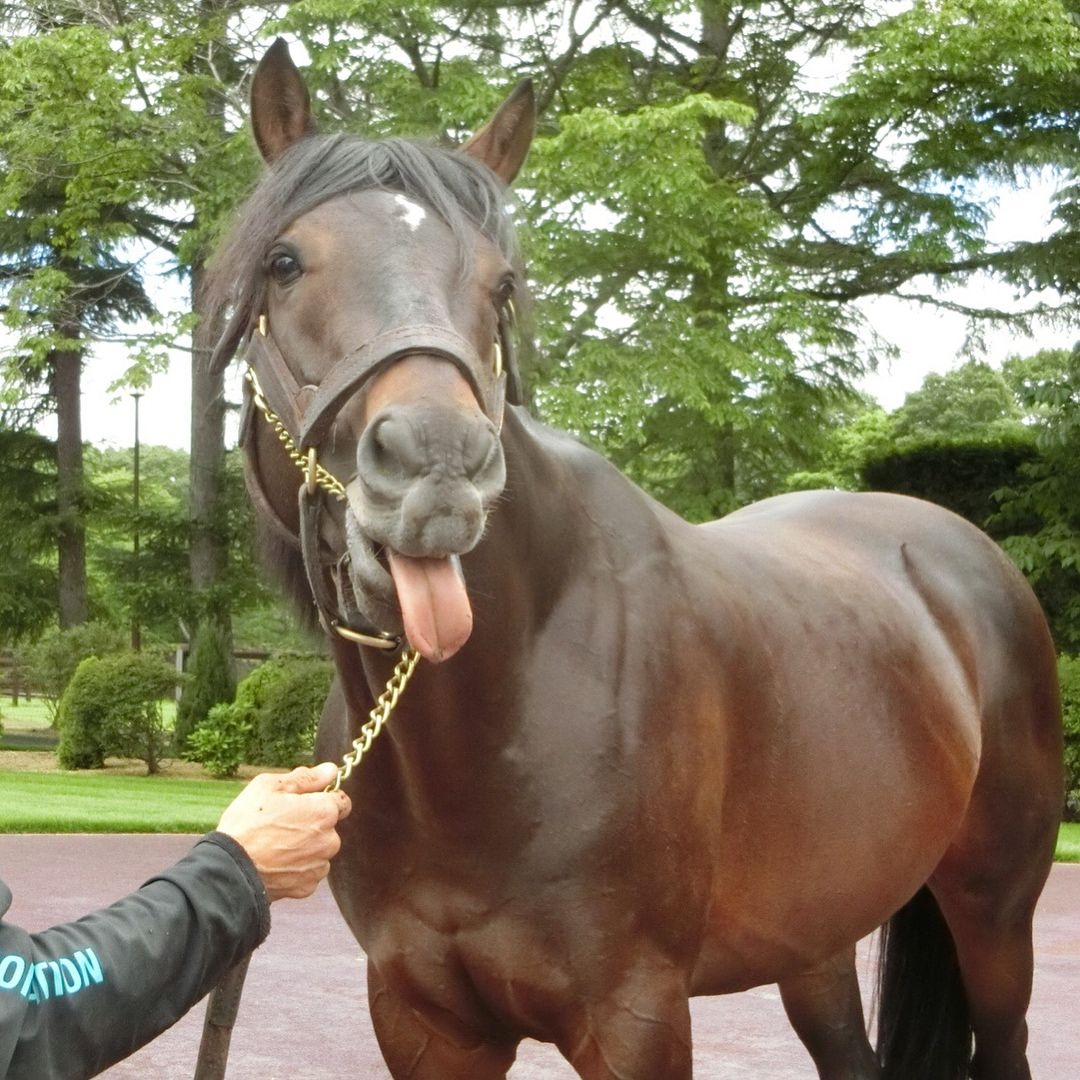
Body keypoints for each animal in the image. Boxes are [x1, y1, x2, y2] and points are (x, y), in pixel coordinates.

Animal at [208, 38, 1062, 1075]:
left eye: (500, 286)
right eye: (285, 263)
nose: (437, 468)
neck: (499, 714)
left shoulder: (635, 1014)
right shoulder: (420, 1018)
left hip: (994, 917)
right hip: (815, 937)